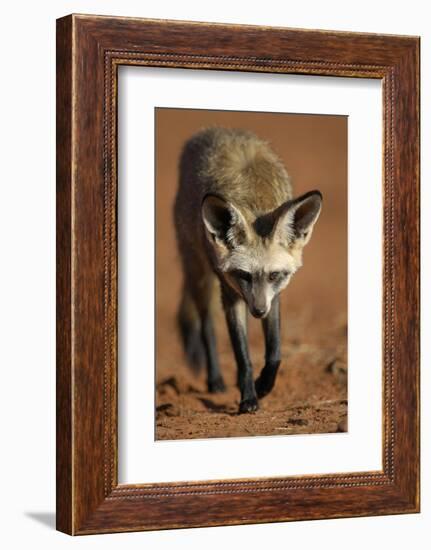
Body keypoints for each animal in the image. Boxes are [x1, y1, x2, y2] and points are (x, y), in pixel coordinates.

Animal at [174, 128, 322, 414]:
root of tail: (211, 131)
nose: (258, 311)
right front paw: (249, 398)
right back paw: (215, 380)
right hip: (200, 275)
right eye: (243, 275)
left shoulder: (274, 295)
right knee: (206, 326)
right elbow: (242, 355)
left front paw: (264, 385)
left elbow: (275, 352)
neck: (255, 199)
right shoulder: (230, 292)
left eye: (275, 275)